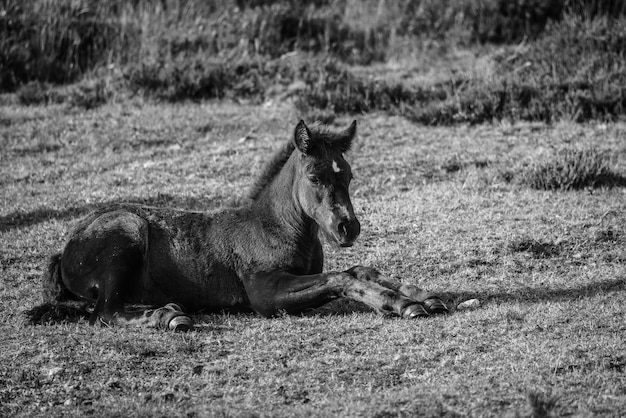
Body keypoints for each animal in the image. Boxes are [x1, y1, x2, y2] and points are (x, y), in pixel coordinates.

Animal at [26, 120, 446, 330]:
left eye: (350, 175)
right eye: (314, 176)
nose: (348, 228)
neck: (275, 227)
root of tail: (65, 251)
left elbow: (360, 268)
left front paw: (423, 295)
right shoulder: (264, 292)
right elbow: (341, 278)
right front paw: (401, 304)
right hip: (126, 233)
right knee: (104, 312)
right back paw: (169, 316)